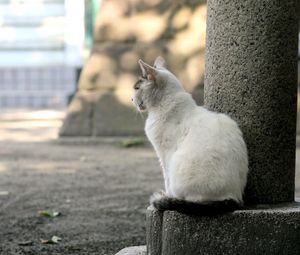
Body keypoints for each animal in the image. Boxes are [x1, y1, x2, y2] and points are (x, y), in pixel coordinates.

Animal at [132, 56, 248, 215]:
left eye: (137, 88)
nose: (131, 100)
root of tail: (233, 198)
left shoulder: (165, 155)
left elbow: (166, 179)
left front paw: (166, 196)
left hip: (179, 165)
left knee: (192, 200)